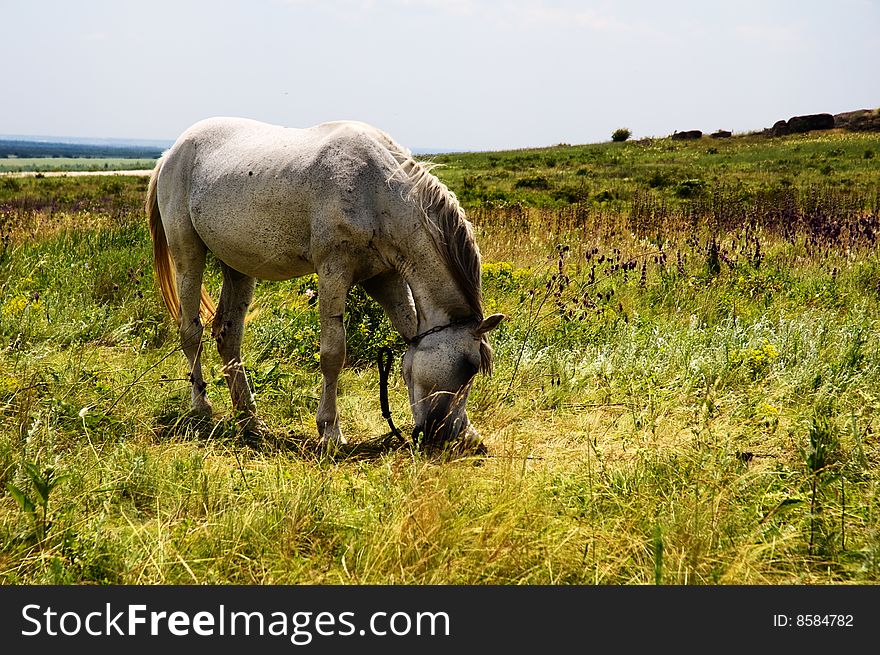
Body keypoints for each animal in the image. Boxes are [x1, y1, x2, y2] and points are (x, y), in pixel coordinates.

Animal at [145, 115, 502, 448]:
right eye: (468, 367)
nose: (447, 435)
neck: (377, 192)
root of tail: (171, 153)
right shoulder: (334, 271)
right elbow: (333, 354)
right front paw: (330, 431)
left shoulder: (384, 278)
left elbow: (409, 331)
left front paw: (470, 432)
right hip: (188, 254)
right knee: (191, 331)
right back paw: (201, 407)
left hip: (238, 265)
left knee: (228, 336)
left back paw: (249, 419)